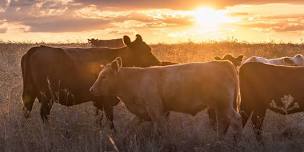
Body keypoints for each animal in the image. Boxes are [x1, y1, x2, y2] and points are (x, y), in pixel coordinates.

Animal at [21, 34, 162, 128]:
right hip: (47, 96)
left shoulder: (97, 100)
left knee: (27, 111)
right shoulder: (106, 99)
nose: (158, 63)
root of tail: (37, 48)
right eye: (143, 51)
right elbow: (110, 120)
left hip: (30, 92)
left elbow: (98, 119)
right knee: (44, 114)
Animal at [89, 57, 241, 138]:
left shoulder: (155, 111)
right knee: (223, 123)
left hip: (224, 105)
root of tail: (225, 63)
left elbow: (160, 131)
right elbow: (129, 127)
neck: (136, 80)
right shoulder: (143, 113)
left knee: (235, 121)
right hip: (220, 106)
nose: (91, 90)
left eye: (104, 77)